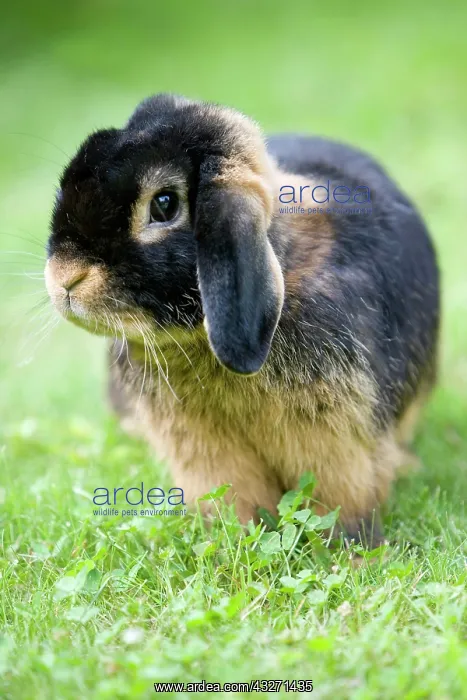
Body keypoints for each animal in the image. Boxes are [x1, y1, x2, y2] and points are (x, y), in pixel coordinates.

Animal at [45, 93, 440, 546]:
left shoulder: (339, 443)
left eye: (164, 204)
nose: (64, 278)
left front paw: (354, 551)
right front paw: (231, 543)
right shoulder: (206, 452)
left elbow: (343, 502)